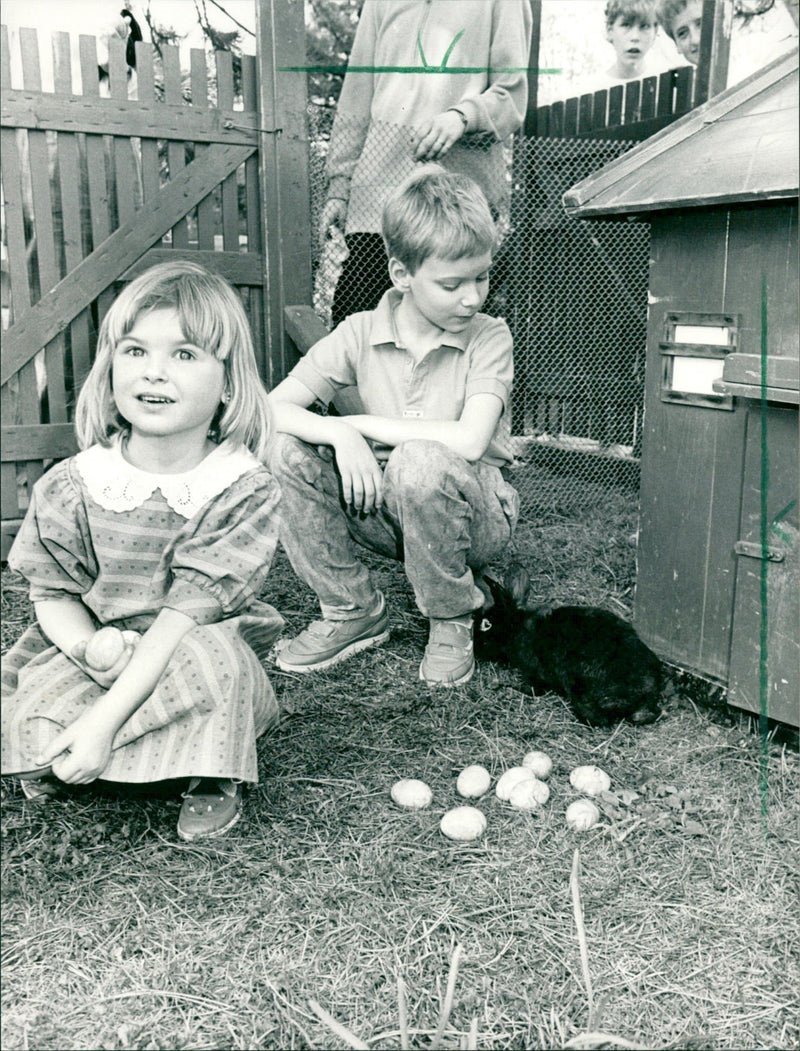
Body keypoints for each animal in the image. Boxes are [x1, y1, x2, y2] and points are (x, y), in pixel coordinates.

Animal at [475, 563, 660, 727]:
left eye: (486, 624)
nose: (475, 647)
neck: (518, 627)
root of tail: (646, 695)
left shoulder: (535, 674)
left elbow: (532, 690)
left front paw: (501, 685)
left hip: (580, 690)